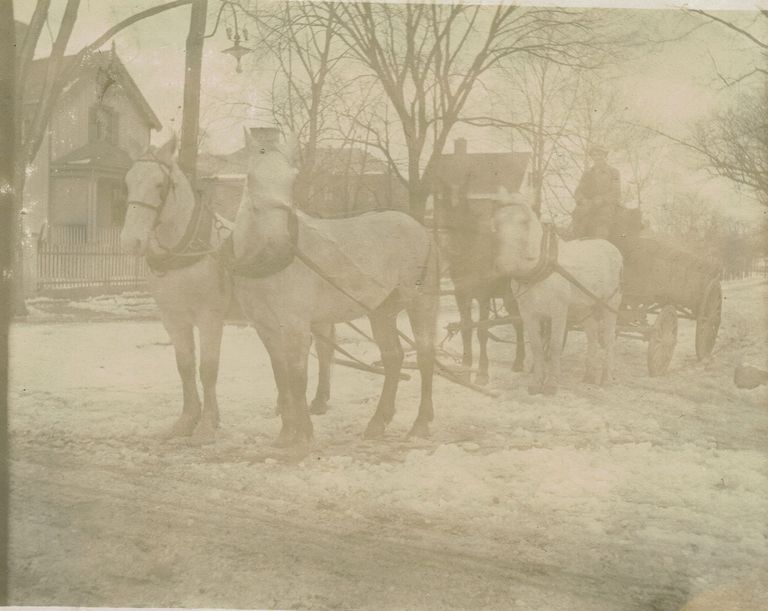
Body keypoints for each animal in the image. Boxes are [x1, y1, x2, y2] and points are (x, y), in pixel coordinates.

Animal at [119, 135, 334, 444]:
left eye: (159, 185)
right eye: (128, 183)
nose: (131, 241)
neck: (185, 253)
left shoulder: (209, 317)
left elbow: (208, 369)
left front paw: (207, 425)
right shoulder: (173, 319)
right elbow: (185, 366)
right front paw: (187, 420)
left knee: (324, 351)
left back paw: (318, 400)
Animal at [231, 129, 439, 447]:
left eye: (293, 178)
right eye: (250, 178)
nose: (279, 241)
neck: (266, 263)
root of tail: (419, 228)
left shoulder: (296, 326)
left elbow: (297, 377)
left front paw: (304, 434)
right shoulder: (265, 328)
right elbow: (281, 376)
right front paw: (286, 433)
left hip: (419, 302)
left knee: (425, 355)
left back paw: (420, 424)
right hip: (380, 311)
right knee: (393, 358)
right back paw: (378, 422)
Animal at [442, 195, 525, 385]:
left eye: (465, 225)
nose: (452, 254)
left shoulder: (483, 296)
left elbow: (482, 331)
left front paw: (482, 373)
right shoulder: (461, 294)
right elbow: (466, 328)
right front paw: (465, 370)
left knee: (522, 321)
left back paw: (521, 361)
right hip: (508, 296)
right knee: (518, 320)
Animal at [493, 194, 622, 395]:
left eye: (524, 222)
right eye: (497, 223)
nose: (502, 265)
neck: (539, 270)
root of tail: (612, 248)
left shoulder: (559, 312)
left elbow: (554, 345)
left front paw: (551, 384)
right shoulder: (528, 314)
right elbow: (537, 347)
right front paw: (536, 383)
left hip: (610, 304)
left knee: (608, 339)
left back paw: (606, 378)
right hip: (585, 308)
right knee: (592, 336)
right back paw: (589, 376)